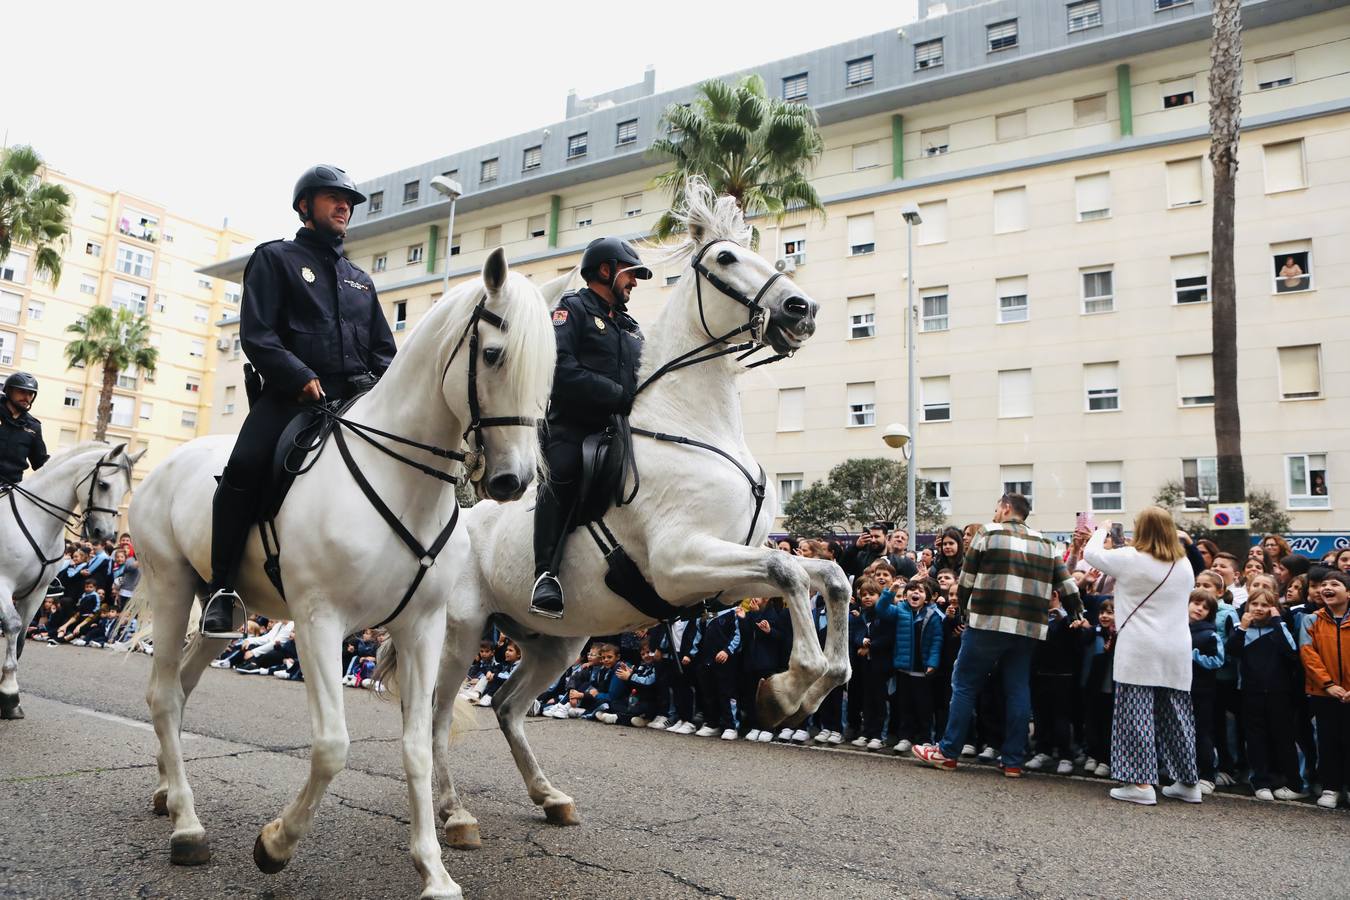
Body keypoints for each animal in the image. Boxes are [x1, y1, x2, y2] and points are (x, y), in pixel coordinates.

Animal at [0, 439, 144, 723]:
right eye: (103, 484)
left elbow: (20, 638)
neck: (36, 519)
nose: (105, 534)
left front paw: (8, 700)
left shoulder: (36, 593)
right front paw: (9, 692)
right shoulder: (2, 583)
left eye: (126, 490)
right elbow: (12, 626)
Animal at [130, 249, 558, 900]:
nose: (513, 481)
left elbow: (417, 747)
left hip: (219, 611)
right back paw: (187, 825)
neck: (399, 478)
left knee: (180, 689)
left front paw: (433, 870)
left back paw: (165, 792)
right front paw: (276, 844)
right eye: (492, 355)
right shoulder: (319, 622)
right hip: (173, 586)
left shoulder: (422, 628)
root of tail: (163, 465)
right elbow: (333, 746)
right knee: (161, 694)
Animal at [421, 183, 847, 852]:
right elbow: (789, 573)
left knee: (509, 707)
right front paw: (787, 688)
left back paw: (550, 797)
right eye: (726, 258)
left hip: (557, 644)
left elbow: (826, 576)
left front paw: (811, 684)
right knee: (439, 714)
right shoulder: (679, 563)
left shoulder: (727, 574)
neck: (694, 426)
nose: (802, 308)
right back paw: (454, 813)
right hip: (462, 631)